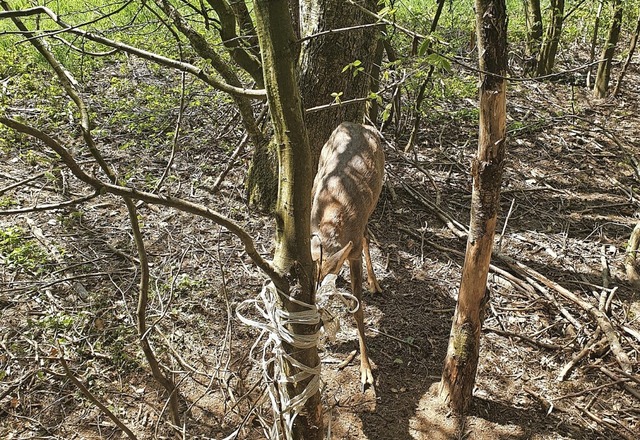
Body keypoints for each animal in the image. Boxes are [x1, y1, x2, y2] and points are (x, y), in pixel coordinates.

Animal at [312, 121, 384, 388]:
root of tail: (356, 123)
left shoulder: (352, 253)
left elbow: (358, 308)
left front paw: (366, 369)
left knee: (367, 236)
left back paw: (374, 283)